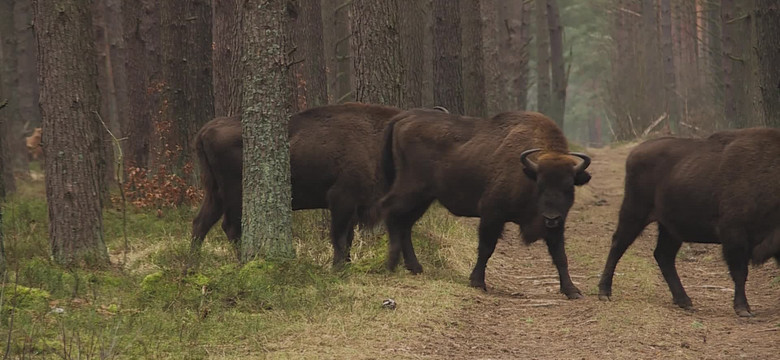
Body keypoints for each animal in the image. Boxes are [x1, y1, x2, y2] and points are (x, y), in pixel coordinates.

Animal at [190, 102, 450, 266]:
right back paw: (242, 261)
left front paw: (345, 264)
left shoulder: (352, 206)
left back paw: (192, 265)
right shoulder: (341, 200)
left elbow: (347, 237)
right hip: (235, 195)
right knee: (231, 227)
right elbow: (339, 237)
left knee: (201, 224)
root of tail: (204, 131)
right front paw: (339, 267)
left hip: (215, 194)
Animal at [378, 110, 592, 298]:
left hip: (424, 198)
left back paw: (415, 267)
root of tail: (405, 117)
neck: (528, 173)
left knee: (405, 224)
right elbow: (486, 248)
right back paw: (392, 263)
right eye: (540, 185)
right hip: (412, 189)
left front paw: (572, 291)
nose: (551, 217)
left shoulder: (557, 226)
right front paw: (477, 282)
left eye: (569, 186)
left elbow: (560, 255)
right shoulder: (492, 214)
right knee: (390, 209)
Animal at [600, 128, 780, 316]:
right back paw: (604, 292)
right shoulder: (734, 235)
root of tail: (635, 152)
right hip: (634, 214)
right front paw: (743, 308)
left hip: (670, 229)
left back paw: (684, 300)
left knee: (663, 255)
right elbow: (740, 272)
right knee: (618, 245)